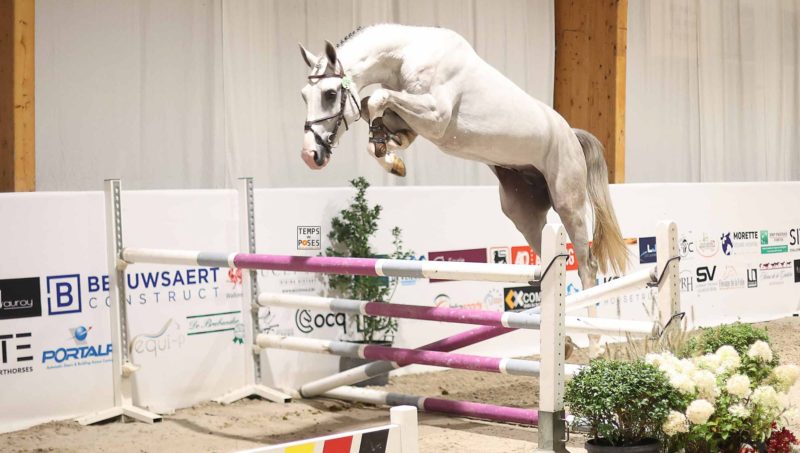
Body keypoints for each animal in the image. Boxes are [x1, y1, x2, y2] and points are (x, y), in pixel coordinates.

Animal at [298, 24, 629, 296]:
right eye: (304, 95)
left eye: (329, 94)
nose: (310, 156)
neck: (408, 54)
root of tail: (572, 134)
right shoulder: (412, 113)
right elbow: (371, 106)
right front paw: (391, 154)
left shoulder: (435, 116)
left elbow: (377, 99)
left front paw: (389, 152)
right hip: (523, 212)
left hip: (568, 202)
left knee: (587, 266)